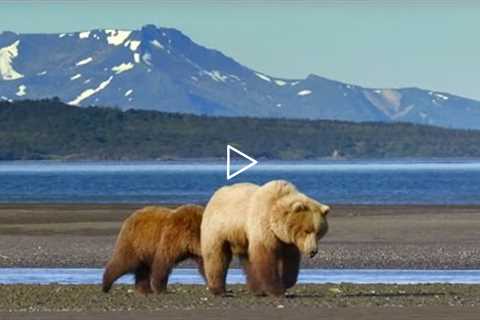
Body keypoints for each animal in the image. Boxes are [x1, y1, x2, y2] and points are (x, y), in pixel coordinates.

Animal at [200, 181, 330, 296]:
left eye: (318, 232)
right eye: (306, 231)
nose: (313, 251)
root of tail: (215, 195)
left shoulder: (287, 240)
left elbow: (290, 259)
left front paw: (287, 282)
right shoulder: (263, 225)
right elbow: (266, 256)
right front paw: (277, 289)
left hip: (243, 239)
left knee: (249, 261)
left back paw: (257, 290)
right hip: (218, 229)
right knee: (216, 256)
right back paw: (219, 290)